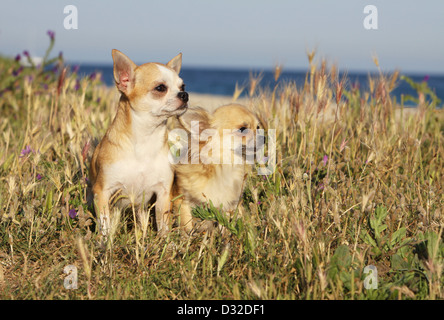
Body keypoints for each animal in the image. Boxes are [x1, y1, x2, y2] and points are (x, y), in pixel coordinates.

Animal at [89, 49, 188, 235]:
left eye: (182, 87)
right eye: (160, 88)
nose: (185, 95)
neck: (145, 138)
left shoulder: (163, 193)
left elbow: (163, 226)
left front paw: (165, 242)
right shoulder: (103, 192)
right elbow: (105, 225)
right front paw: (105, 242)